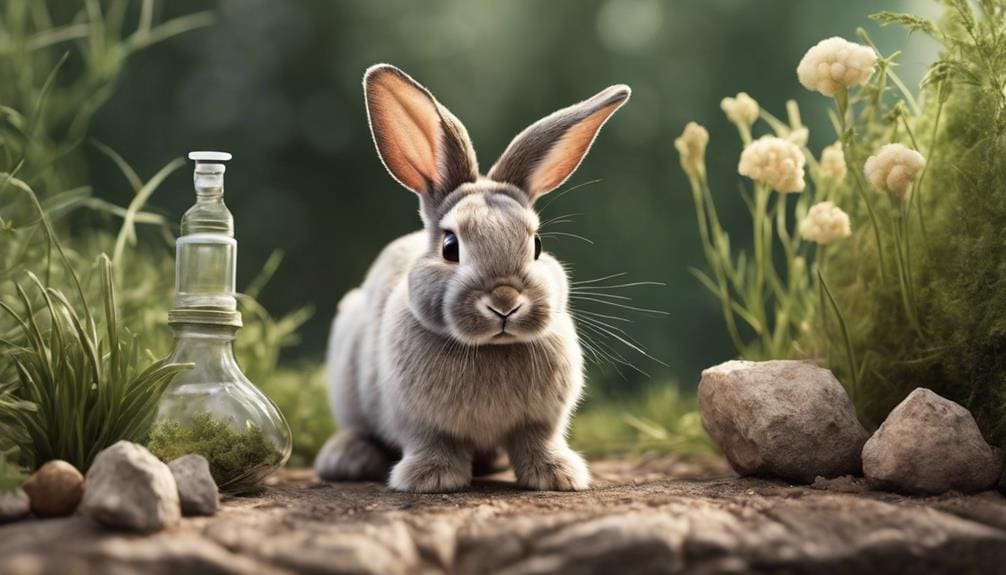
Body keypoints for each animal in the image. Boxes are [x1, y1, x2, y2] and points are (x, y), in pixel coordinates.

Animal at [315, 63, 630, 492]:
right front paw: (431, 479)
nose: (504, 301)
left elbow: (538, 442)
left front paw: (559, 476)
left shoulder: (541, 422)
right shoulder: (421, 423)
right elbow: (434, 443)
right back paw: (346, 459)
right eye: (450, 246)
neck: (491, 348)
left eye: (537, 245)